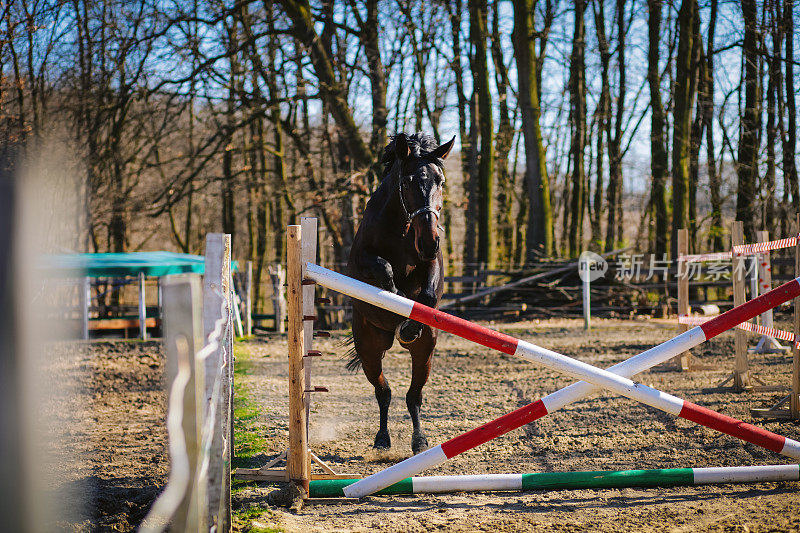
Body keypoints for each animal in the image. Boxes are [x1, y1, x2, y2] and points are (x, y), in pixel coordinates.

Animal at [346, 132, 454, 454]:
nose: (430, 241)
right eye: (407, 182)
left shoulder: (431, 262)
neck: (403, 227)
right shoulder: (362, 259)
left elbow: (427, 296)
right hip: (370, 347)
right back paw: (382, 438)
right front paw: (396, 300)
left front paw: (409, 324)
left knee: (413, 395)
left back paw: (419, 440)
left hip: (425, 350)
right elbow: (384, 269)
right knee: (383, 392)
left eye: (441, 181)